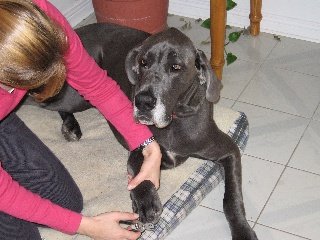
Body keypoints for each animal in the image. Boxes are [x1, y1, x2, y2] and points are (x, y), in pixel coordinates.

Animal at [28, 23, 258, 240]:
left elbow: (232, 199)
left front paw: (243, 231)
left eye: (175, 67)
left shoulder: (228, 150)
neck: (174, 119)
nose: (143, 102)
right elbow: (139, 172)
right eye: (143, 63)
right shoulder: (139, 150)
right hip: (76, 94)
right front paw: (145, 202)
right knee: (46, 99)